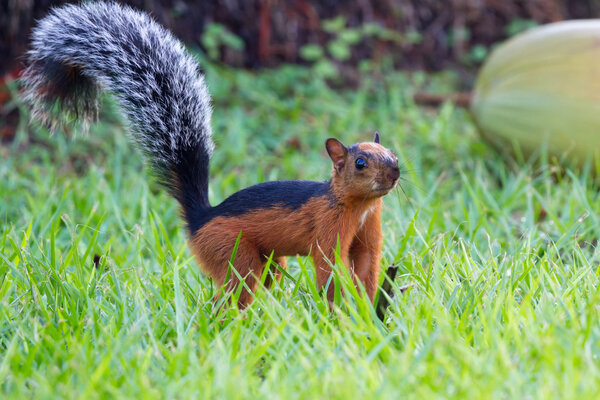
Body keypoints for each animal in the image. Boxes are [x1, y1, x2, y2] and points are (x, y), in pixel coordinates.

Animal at [22, 2, 398, 306]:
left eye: (393, 153)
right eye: (360, 163)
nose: (394, 173)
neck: (359, 206)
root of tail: (200, 219)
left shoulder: (368, 236)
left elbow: (367, 267)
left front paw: (369, 306)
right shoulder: (326, 230)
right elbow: (330, 269)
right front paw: (342, 312)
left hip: (268, 262)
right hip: (233, 254)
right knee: (230, 293)